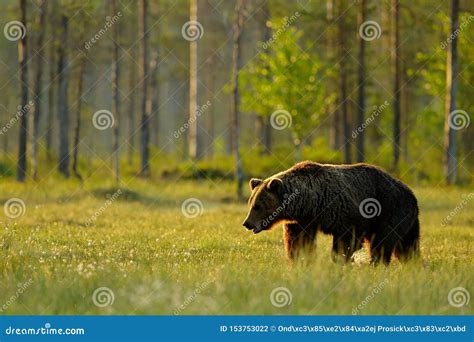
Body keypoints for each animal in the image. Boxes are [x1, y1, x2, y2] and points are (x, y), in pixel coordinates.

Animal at [243, 161, 420, 264]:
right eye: (250, 203)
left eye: (258, 206)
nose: (247, 223)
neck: (309, 203)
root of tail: (412, 195)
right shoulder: (302, 220)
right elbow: (299, 240)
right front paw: (300, 258)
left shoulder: (344, 213)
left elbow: (346, 240)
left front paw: (339, 259)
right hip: (405, 219)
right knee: (407, 244)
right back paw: (411, 262)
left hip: (390, 209)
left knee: (382, 241)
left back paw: (377, 262)